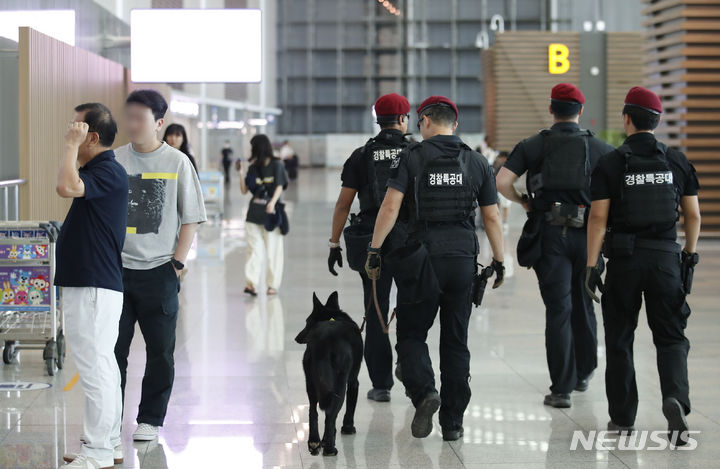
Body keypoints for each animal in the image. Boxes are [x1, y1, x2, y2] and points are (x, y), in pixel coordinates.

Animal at [294, 290, 362, 456]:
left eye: (307, 322)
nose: (296, 338)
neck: (334, 316)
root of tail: (324, 341)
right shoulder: (353, 382)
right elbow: (349, 408)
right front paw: (347, 428)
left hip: (311, 384)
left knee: (313, 412)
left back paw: (314, 442)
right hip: (339, 386)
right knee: (330, 415)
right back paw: (330, 447)